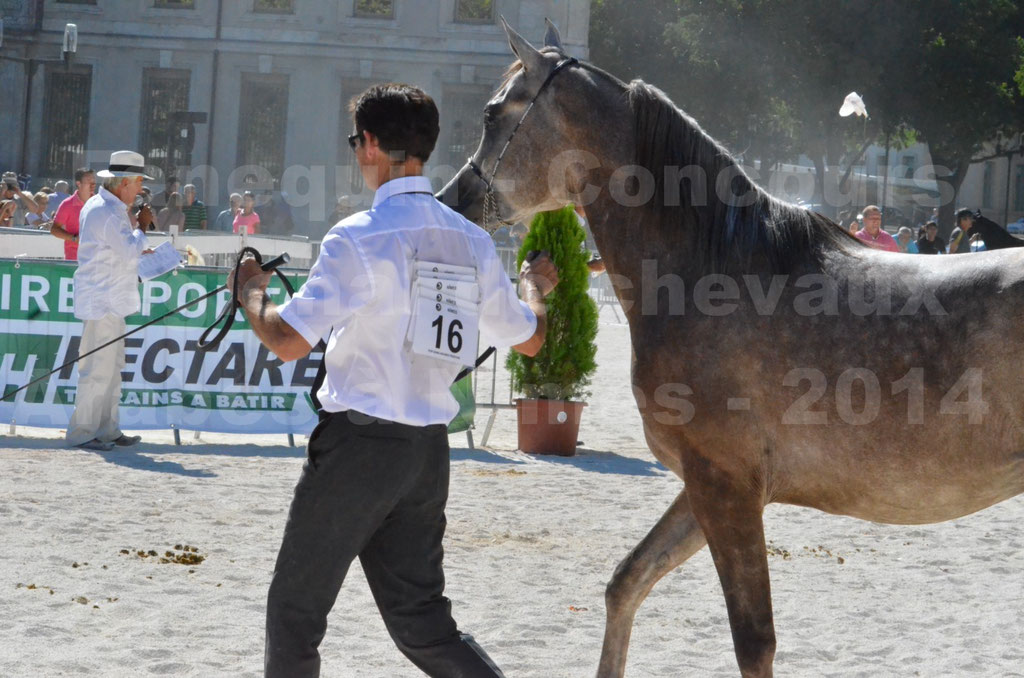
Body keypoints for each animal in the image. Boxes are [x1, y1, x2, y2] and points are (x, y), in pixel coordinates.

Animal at [438, 18, 1024, 675]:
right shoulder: (707, 485)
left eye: (491, 113)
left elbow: (753, 640)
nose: (452, 198)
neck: (717, 273)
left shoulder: (726, 487)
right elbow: (627, 582)